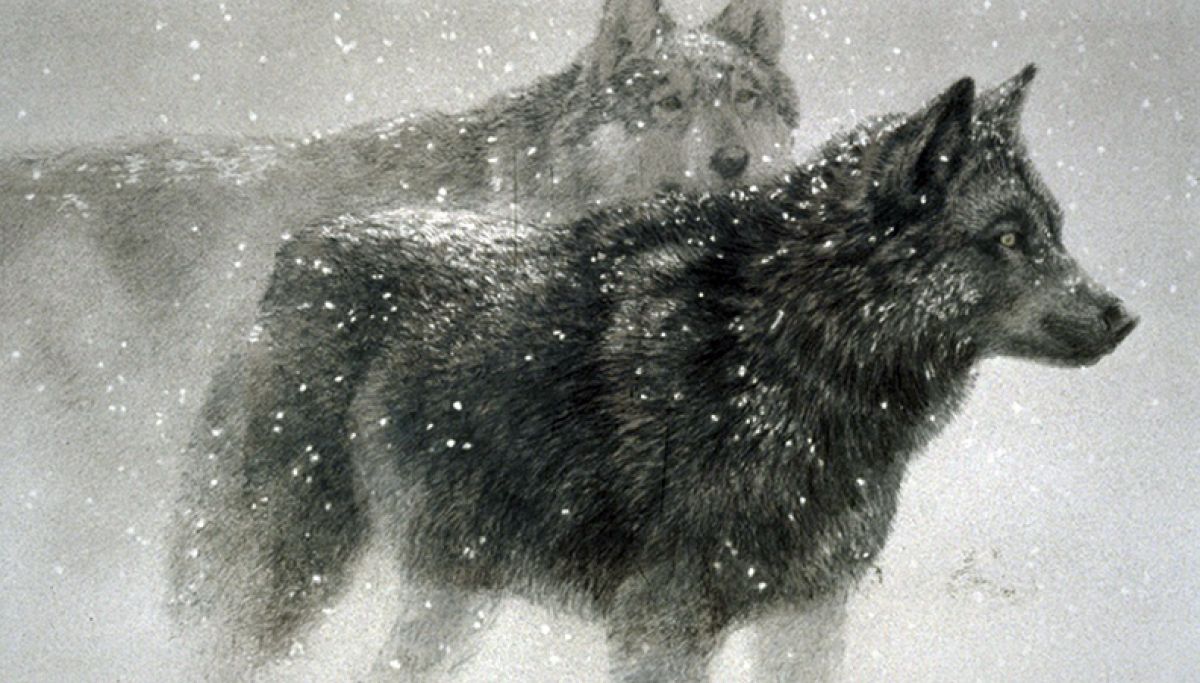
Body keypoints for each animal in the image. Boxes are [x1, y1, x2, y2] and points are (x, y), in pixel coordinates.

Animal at [170, 65, 1138, 681]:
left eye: (1054, 230)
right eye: (1007, 238)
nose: (1122, 316)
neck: (787, 350)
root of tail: (297, 251)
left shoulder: (809, 614)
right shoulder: (668, 621)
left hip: (451, 598)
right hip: (286, 572)